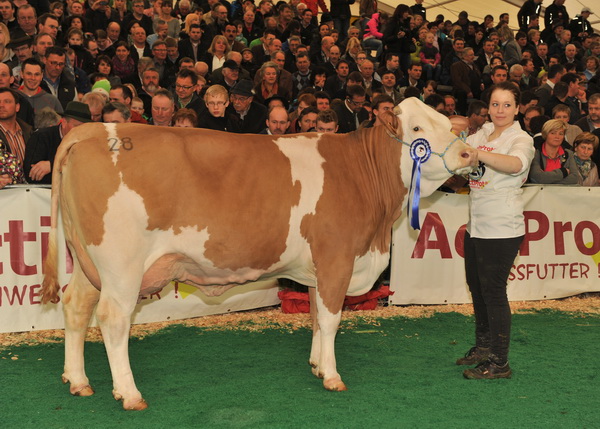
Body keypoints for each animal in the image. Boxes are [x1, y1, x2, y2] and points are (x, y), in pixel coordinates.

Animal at [42, 97, 476, 408]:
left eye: (446, 123)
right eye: (418, 129)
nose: (468, 155)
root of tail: (92, 130)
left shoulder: (318, 268)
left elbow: (316, 317)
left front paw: (316, 365)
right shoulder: (336, 259)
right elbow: (331, 319)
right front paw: (333, 376)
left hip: (88, 262)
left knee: (76, 306)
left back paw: (77, 381)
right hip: (122, 266)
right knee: (112, 319)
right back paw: (129, 394)